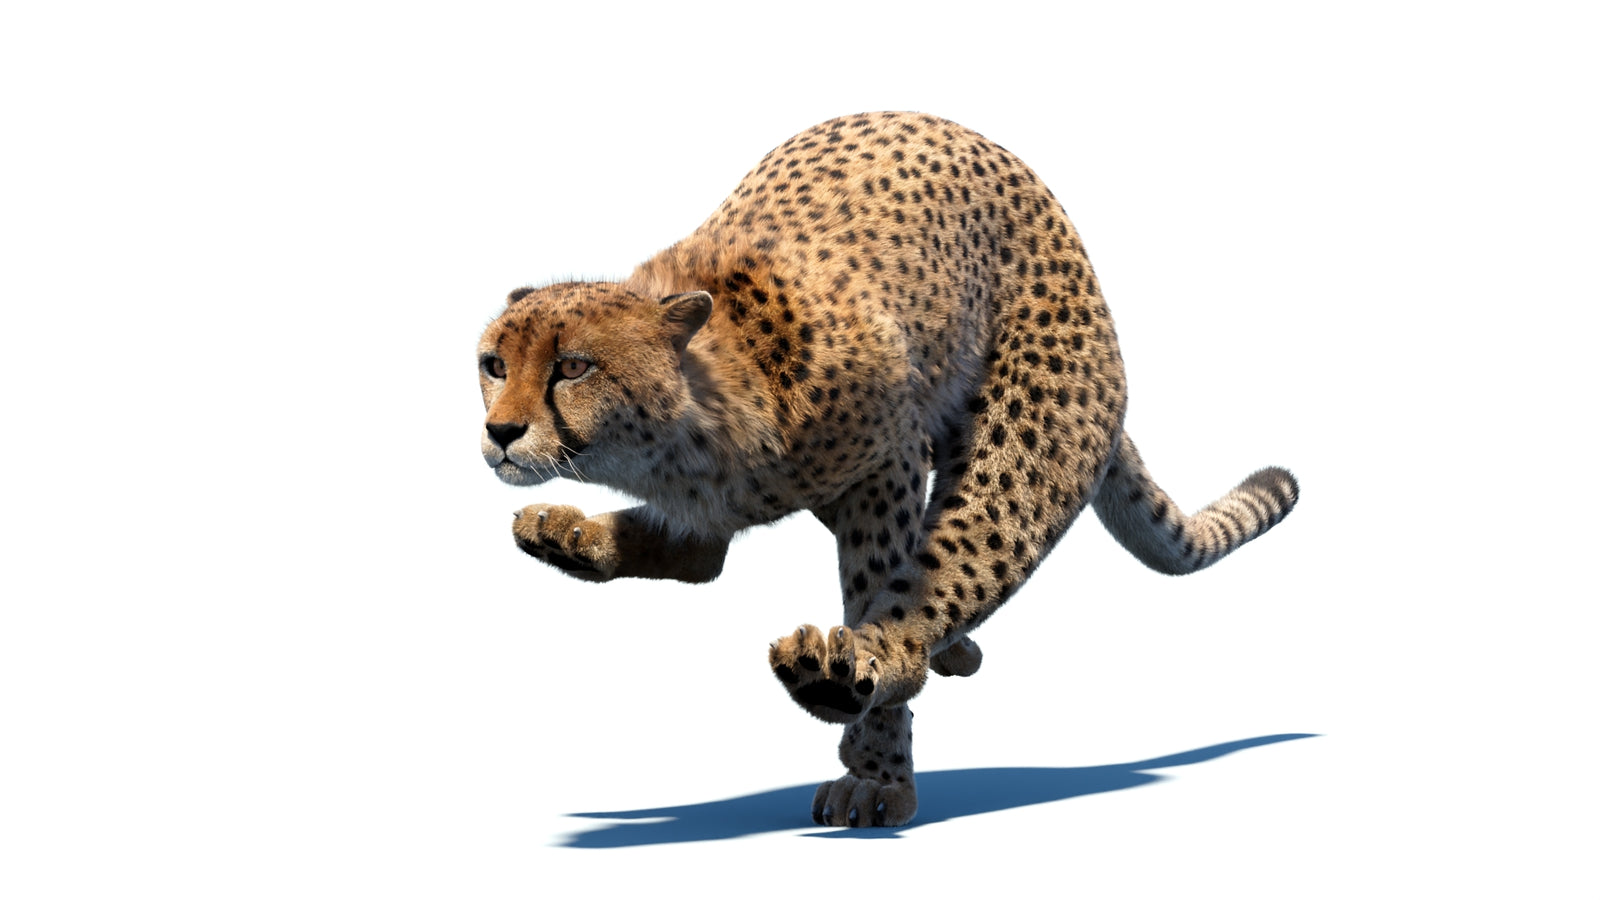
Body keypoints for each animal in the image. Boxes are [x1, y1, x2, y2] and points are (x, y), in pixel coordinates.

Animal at [476, 112, 1299, 828]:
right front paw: (566, 530)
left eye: (573, 367)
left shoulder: (889, 461)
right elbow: (700, 549)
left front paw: (874, 761)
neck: (692, 429)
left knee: (967, 547)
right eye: (493, 365)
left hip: (1033, 427)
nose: (500, 432)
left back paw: (859, 672)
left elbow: (892, 577)